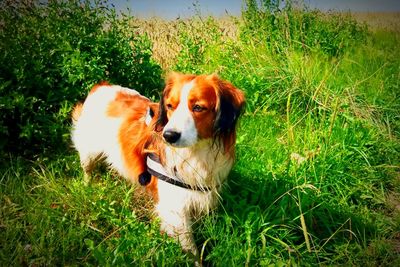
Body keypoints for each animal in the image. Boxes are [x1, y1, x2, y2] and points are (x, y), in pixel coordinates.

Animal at [70, 72, 245, 258]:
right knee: (87, 169)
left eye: (198, 107)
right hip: (89, 151)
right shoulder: (175, 211)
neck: (195, 154)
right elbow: (190, 247)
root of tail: (102, 86)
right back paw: (88, 186)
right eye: (170, 106)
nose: (168, 135)